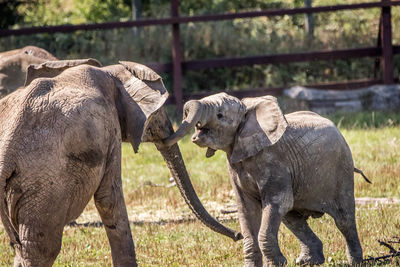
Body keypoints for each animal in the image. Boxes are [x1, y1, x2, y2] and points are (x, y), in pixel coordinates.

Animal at [0, 61, 241, 267]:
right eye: (159, 111)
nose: (237, 235)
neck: (112, 72)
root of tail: (6, 154)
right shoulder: (110, 127)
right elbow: (109, 197)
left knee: (24, 246)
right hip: (44, 182)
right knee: (41, 247)